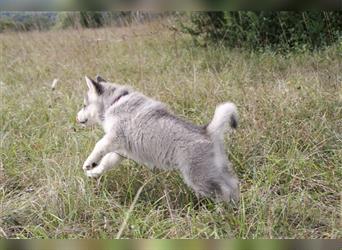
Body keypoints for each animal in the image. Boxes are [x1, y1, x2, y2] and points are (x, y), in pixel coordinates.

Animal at [76, 75, 239, 203]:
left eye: (84, 105)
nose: (76, 118)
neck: (115, 101)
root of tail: (207, 132)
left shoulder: (114, 136)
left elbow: (99, 145)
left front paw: (89, 163)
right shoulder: (121, 151)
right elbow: (106, 162)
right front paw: (94, 172)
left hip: (198, 177)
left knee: (223, 192)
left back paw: (222, 212)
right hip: (216, 170)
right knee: (232, 185)